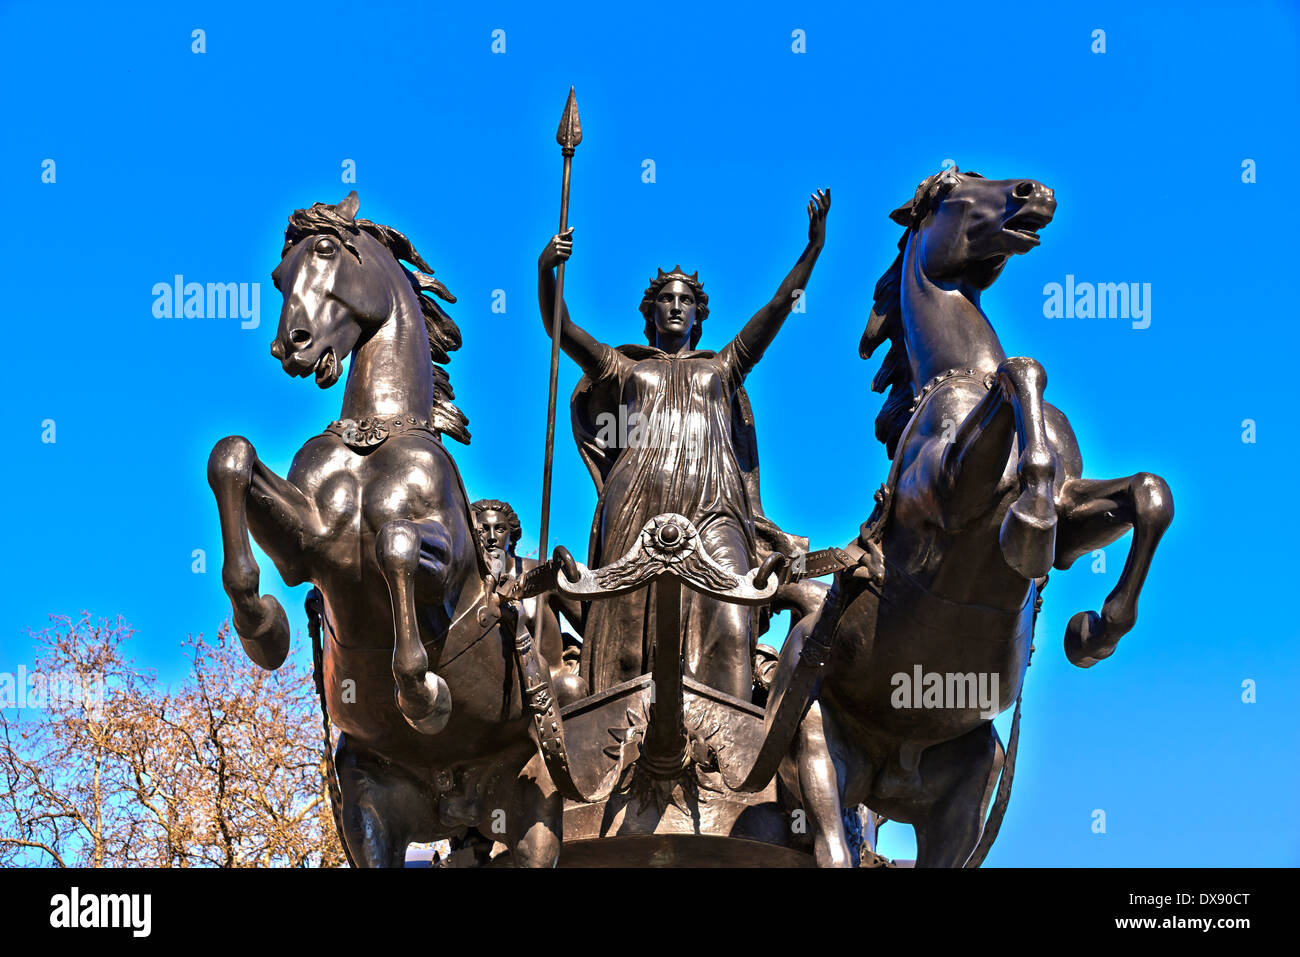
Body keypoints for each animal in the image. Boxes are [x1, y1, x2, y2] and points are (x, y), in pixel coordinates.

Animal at [205, 195, 561, 868]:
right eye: (277, 276)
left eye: (325, 251)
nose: (290, 346)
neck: (378, 433)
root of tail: (456, 804)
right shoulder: (312, 543)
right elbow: (231, 456)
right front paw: (264, 627)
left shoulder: (447, 566)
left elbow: (395, 543)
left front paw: (424, 694)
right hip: (372, 809)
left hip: (534, 812)